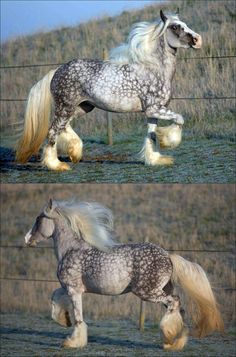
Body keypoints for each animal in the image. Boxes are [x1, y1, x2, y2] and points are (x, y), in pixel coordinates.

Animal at [15, 10, 202, 172]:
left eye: (184, 24)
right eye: (175, 27)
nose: (197, 40)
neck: (153, 68)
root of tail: (57, 71)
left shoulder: (153, 112)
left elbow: (152, 135)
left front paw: (155, 159)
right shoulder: (154, 108)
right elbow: (179, 119)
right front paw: (168, 142)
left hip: (82, 107)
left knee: (63, 128)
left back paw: (75, 152)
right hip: (65, 108)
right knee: (53, 131)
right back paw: (56, 165)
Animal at [24, 199, 224, 350]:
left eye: (39, 218)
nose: (27, 240)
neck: (71, 249)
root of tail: (168, 256)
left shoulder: (74, 290)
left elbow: (79, 318)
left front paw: (72, 342)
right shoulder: (69, 288)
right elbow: (54, 297)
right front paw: (64, 320)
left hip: (147, 292)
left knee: (174, 303)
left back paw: (168, 338)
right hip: (161, 290)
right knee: (178, 309)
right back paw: (175, 342)